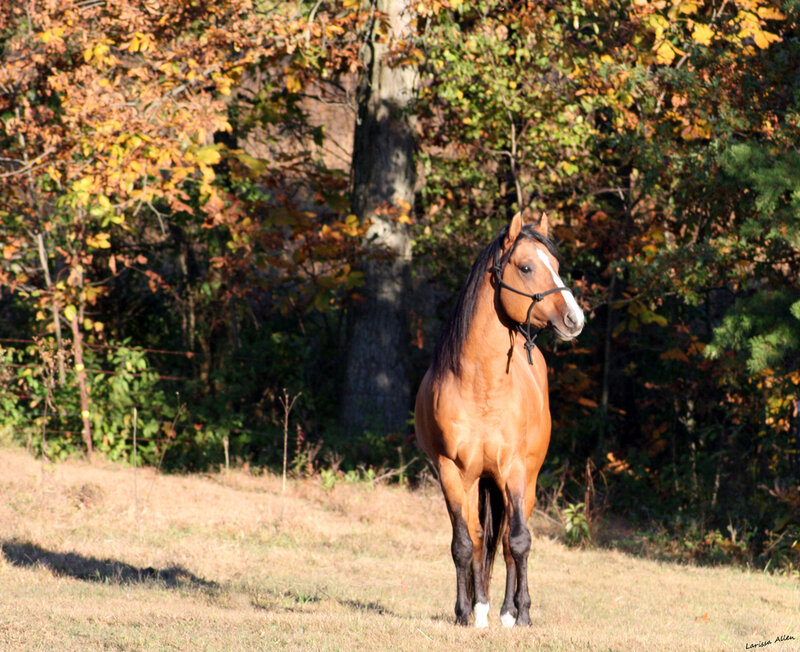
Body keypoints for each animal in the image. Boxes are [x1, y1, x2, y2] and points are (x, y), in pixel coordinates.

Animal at [414, 212, 584, 628]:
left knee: (508, 541)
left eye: (555, 266)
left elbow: (517, 542)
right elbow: (465, 543)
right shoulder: (450, 471)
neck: (481, 386)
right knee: (480, 538)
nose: (575, 319)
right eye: (526, 267)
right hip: (479, 480)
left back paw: (509, 610)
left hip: (525, 478)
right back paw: (483, 606)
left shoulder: (515, 470)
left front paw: (520, 614)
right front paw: (466, 612)